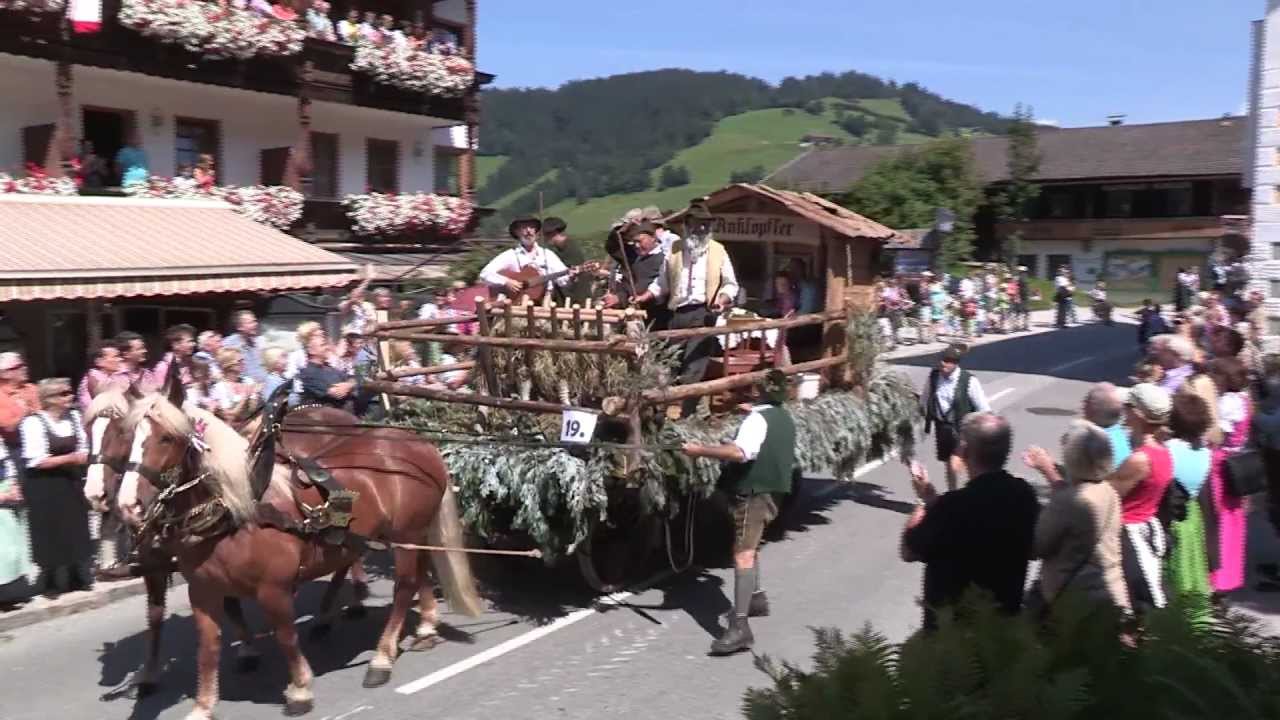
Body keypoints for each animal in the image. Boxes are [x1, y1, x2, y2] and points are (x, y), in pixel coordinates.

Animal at [107, 379, 481, 712]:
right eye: (127, 437)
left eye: (166, 437)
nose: (128, 507)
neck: (232, 512)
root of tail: (421, 443)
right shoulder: (201, 592)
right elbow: (207, 649)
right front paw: (203, 705)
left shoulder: (273, 588)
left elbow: (286, 635)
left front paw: (300, 688)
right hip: (412, 534)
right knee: (417, 572)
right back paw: (424, 627)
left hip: (405, 536)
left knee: (404, 587)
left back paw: (381, 656)